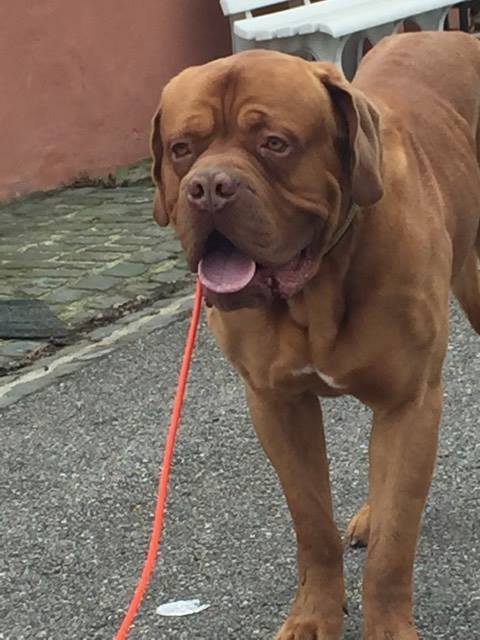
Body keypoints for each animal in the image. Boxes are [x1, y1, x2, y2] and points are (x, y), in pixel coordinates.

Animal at [150, 31, 480, 639]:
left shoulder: (412, 399)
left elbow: (394, 549)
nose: (208, 188)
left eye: (275, 144)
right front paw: (314, 615)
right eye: (183, 148)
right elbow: (312, 524)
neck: (317, 287)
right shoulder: (277, 405)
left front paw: (388, 628)